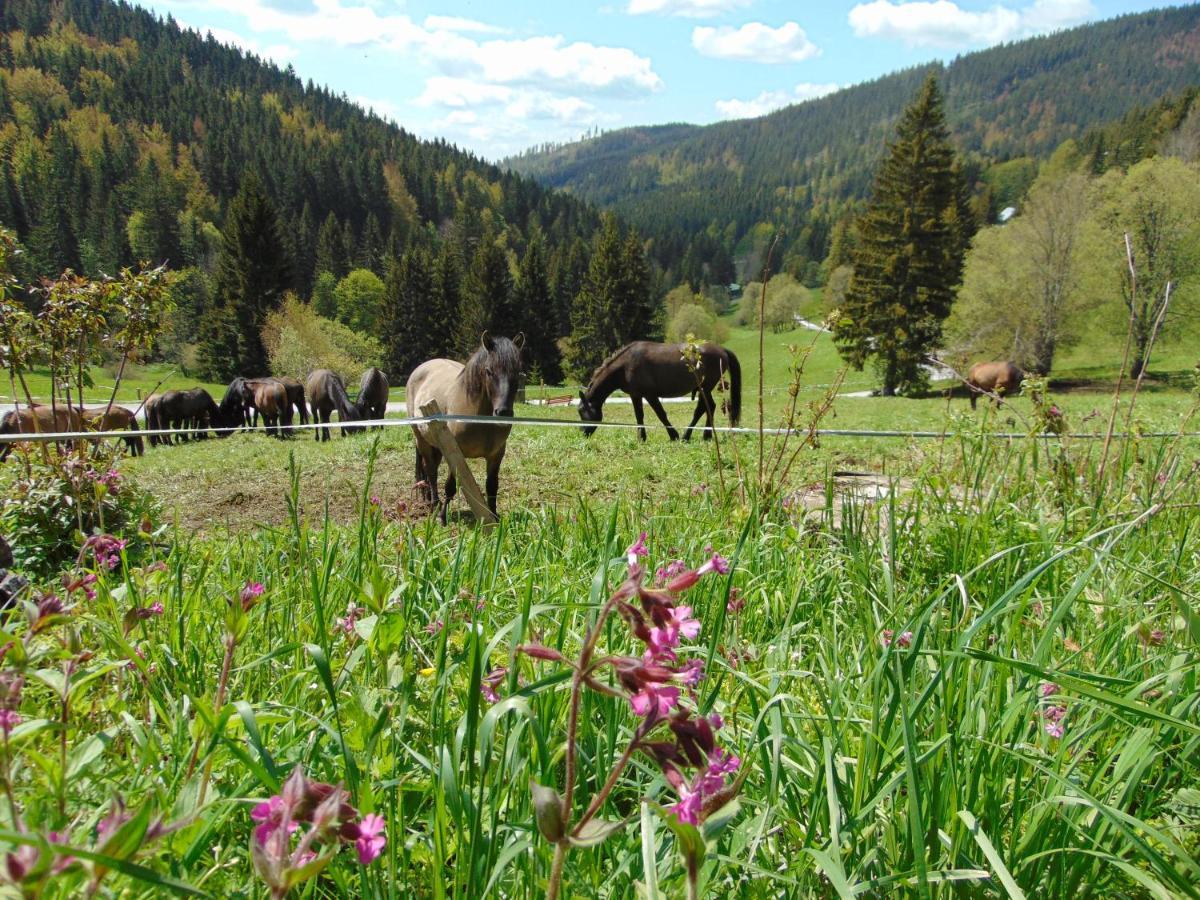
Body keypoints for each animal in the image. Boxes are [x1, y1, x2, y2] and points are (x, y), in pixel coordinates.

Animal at [405, 336, 523, 525]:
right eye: (489, 371)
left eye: (518, 372)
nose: (503, 413)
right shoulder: (454, 453)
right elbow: (450, 486)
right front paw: (443, 517)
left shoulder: (496, 456)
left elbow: (492, 486)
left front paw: (494, 517)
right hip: (422, 440)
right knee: (431, 471)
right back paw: (434, 504)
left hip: (437, 446)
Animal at [578, 340, 739, 444]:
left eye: (581, 412)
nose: (582, 432)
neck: (625, 365)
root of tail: (722, 350)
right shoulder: (636, 395)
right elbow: (639, 416)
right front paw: (641, 438)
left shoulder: (650, 395)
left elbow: (661, 415)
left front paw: (673, 435)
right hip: (705, 389)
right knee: (710, 407)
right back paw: (706, 435)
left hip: (704, 388)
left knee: (701, 409)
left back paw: (687, 436)